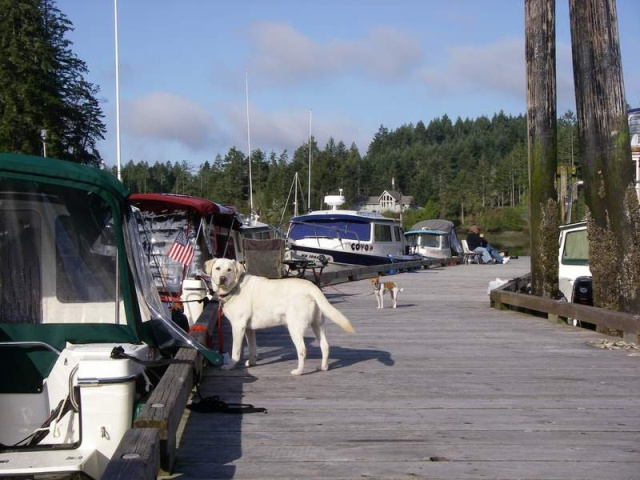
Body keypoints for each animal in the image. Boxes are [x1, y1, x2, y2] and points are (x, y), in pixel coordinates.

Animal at [205, 258, 356, 376]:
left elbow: (235, 352)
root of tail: (312, 287)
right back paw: (323, 367)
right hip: (317, 324)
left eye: (229, 270)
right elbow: (253, 348)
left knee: (302, 350)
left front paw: (230, 366)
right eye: (218, 268)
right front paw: (252, 362)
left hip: (294, 327)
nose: (222, 278)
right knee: (325, 346)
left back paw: (299, 371)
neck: (236, 287)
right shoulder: (248, 329)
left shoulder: (238, 326)